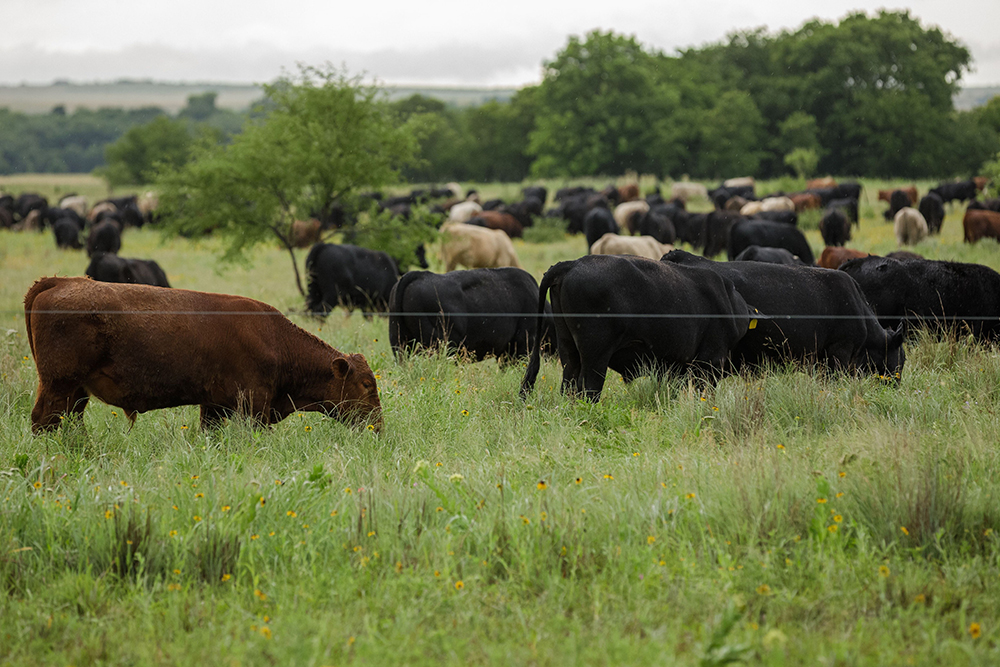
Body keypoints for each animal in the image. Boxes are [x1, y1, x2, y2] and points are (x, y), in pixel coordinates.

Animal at [24, 277, 382, 432]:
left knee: (67, 420)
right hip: (60, 384)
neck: (275, 339)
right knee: (45, 420)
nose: (378, 425)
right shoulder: (255, 406)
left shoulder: (213, 406)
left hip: (76, 391)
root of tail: (59, 282)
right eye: (366, 384)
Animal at [519, 255, 751, 401]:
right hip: (596, 355)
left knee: (569, 385)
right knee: (589, 389)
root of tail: (571, 264)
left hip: (569, 349)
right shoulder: (711, 361)